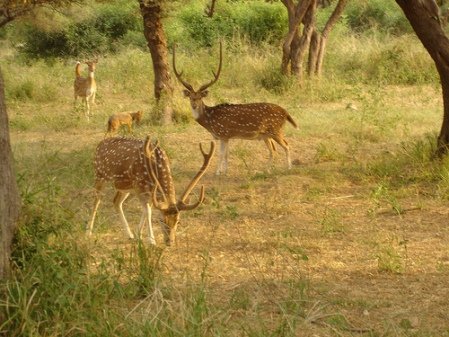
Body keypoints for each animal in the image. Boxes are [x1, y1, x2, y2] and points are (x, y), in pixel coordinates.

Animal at [87, 135, 215, 245]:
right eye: (162, 220)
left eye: (178, 221)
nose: (170, 242)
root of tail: (100, 144)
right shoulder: (139, 187)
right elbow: (148, 211)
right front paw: (151, 240)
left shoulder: (148, 192)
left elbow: (146, 209)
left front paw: (138, 234)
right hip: (99, 174)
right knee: (96, 200)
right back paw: (88, 231)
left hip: (125, 187)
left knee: (116, 201)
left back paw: (129, 234)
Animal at [172, 42, 298, 175]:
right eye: (191, 97)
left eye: (200, 97)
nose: (194, 105)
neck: (210, 121)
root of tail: (286, 112)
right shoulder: (226, 136)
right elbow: (226, 155)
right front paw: (225, 171)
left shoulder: (223, 133)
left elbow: (221, 155)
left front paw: (217, 172)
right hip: (266, 135)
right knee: (273, 150)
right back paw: (266, 170)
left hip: (276, 130)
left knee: (286, 145)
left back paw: (288, 168)